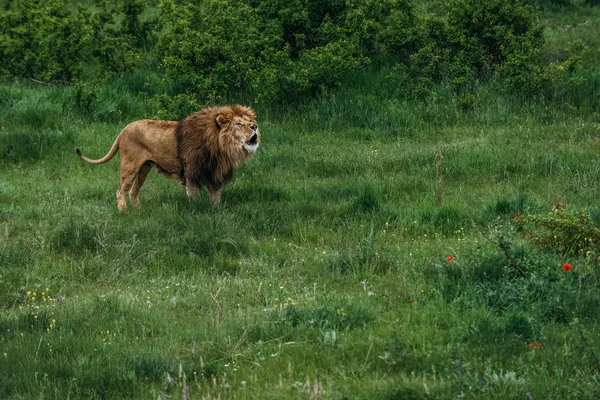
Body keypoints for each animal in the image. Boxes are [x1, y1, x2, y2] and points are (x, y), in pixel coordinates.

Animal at [75, 104, 260, 211]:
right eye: (239, 124)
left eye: (250, 121)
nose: (255, 126)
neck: (219, 146)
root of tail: (123, 130)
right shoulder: (192, 173)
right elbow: (195, 198)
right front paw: (197, 211)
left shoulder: (215, 174)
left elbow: (216, 198)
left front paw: (217, 211)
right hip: (130, 165)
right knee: (121, 191)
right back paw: (124, 213)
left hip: (144, 168)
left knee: (133, 191)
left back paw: (138, 211)